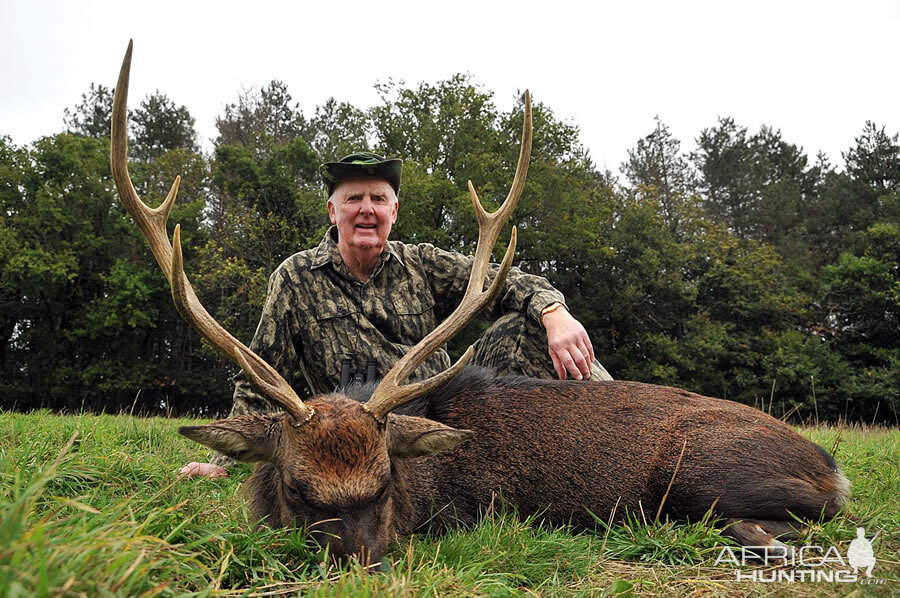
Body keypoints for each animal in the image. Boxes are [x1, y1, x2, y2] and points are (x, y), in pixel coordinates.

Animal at [112, 41, 852, 568]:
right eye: (296, 488)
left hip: (696, 472)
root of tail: (832, 467)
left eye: (385, 481)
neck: (427, 487)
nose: (364, 565)